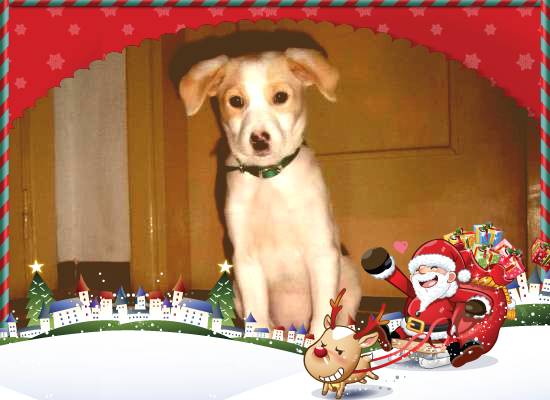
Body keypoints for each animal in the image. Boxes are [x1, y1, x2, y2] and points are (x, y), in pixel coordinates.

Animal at [179, 48, 361, 337]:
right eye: (236, 101)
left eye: (280, 97)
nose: (259, 140)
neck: (269, 181)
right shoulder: (246, 258)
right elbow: (257, 316)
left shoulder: (322, 251)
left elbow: (322, 314)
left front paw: (317, 344)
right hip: (238, 290)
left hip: (350, 275)